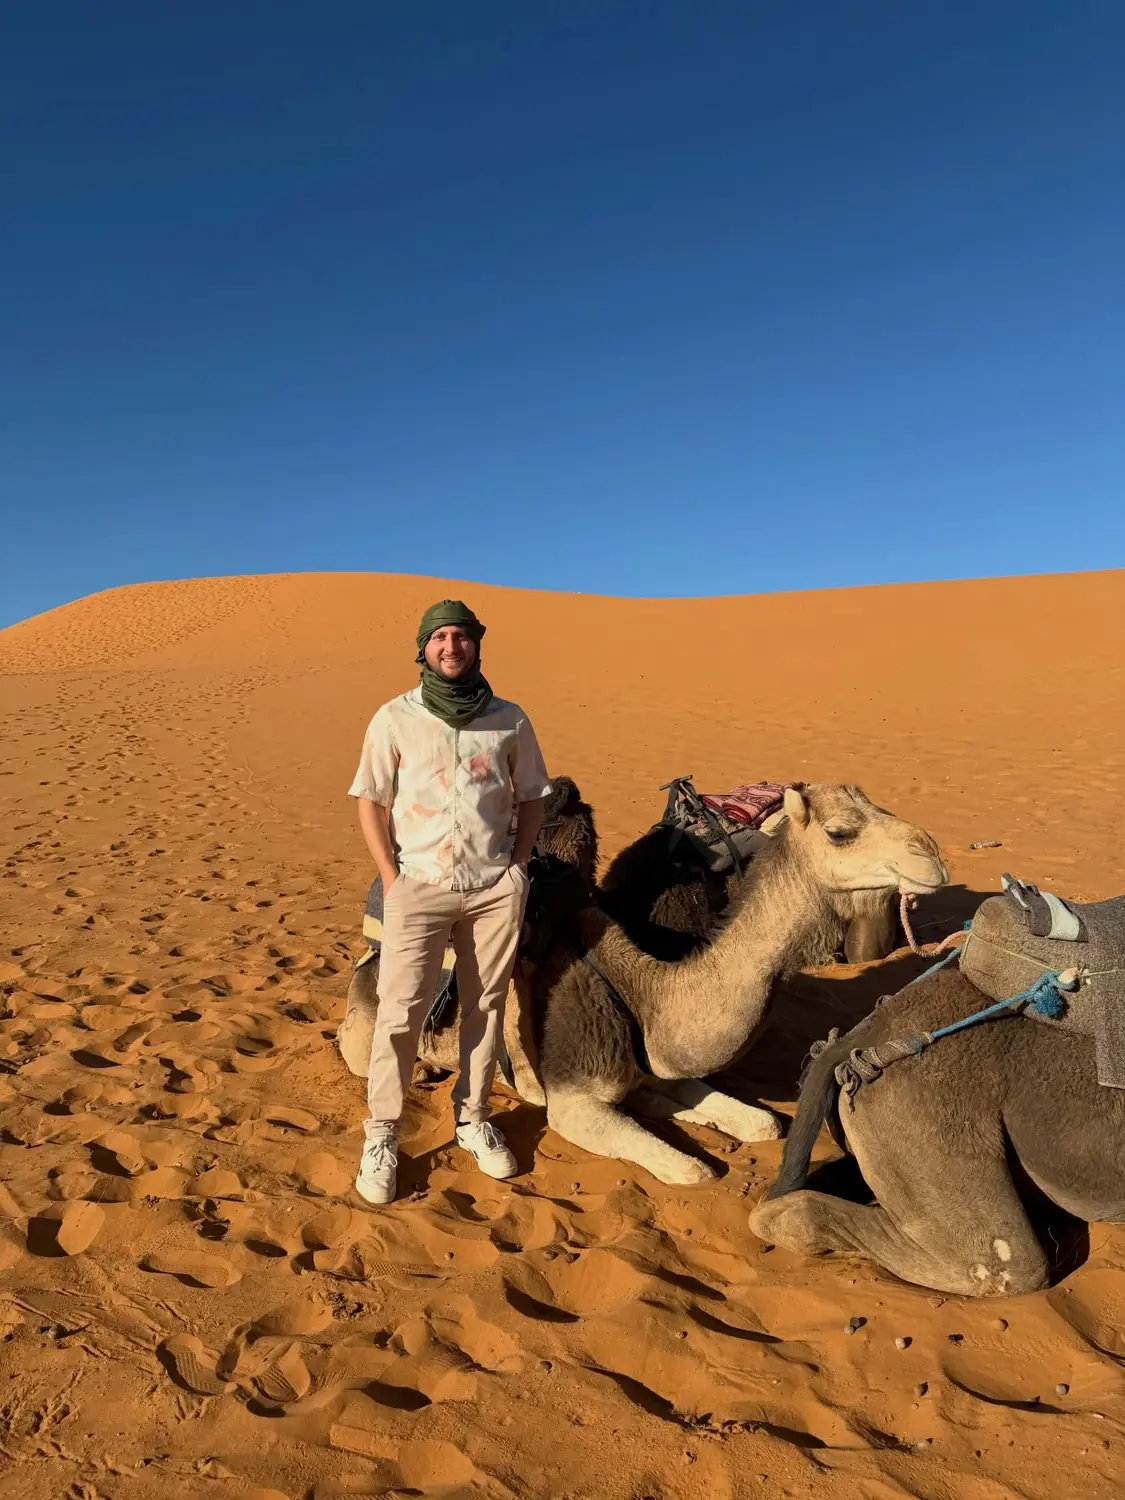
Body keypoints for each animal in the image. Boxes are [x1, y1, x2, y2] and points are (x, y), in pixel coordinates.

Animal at [340, 783, 947, 1184]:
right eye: (840, 832)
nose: (933, 854)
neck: (644, 991)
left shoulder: (653, 1061)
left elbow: (763, 1124)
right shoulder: (572, 1101)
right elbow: (694, 1171)